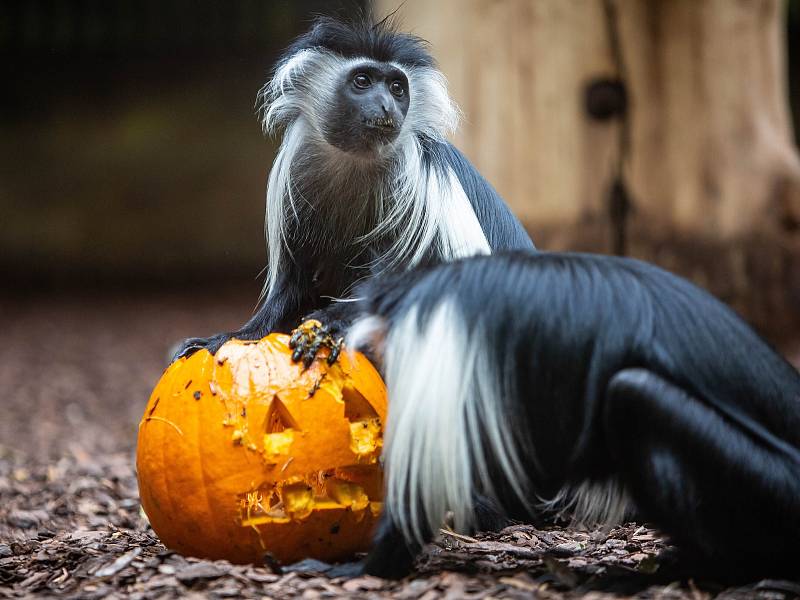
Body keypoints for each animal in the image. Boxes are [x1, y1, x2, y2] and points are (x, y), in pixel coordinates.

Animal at [176, 16, 536, 364]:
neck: (357, 159)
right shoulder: (295, 180)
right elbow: (295, 284)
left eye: (396, 87)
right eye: (362, 81)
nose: (387, 105)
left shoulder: (416, 187)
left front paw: (326, 323)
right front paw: (233, 336)